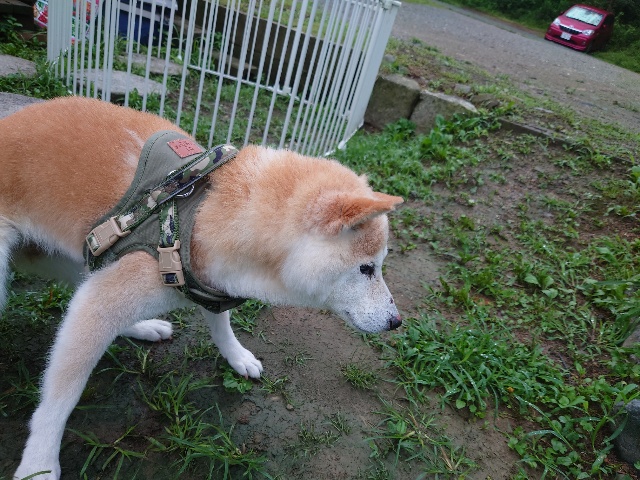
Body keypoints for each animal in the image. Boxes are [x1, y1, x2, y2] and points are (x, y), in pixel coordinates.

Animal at [1, 96, 403, 479]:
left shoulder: (208, 284)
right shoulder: (105, 301)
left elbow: (221, 325)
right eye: (367, 269)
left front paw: (236, 356)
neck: (206, 213)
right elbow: (60, 398)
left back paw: (141, 327)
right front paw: (39, 463)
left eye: (379, 265)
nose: (396, 321)